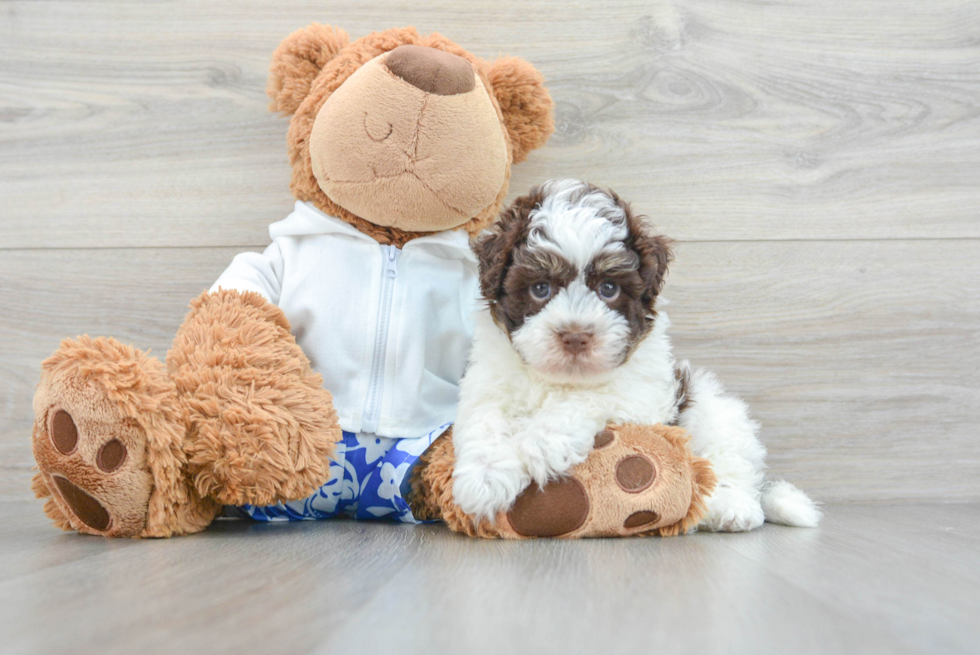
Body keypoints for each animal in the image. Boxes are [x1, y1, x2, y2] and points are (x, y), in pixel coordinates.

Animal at [452, 179, 820, 532]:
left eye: (609, 289)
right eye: (540, 288)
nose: (575, 336)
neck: (561, 379)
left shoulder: (640, 394)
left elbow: (585, 400)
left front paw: (537, 444)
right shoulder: (487, 383)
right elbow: (485, 419)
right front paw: (483, 478)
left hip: (712, 409)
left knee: (729, 463)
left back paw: (731, 509)